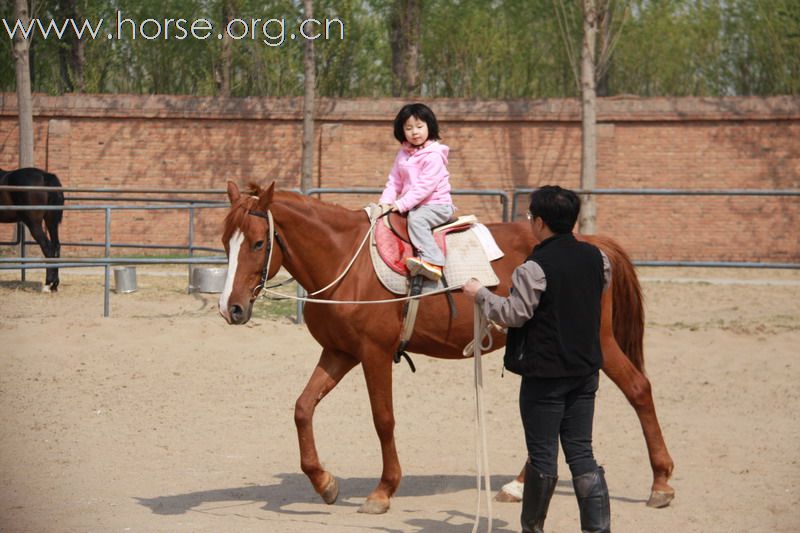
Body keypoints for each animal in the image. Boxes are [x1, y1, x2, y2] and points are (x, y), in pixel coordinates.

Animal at [216, 181, 672, 512]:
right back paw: (518, 486)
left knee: (638, 389)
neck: (348, 262)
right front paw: (324, 482)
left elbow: (383, 420)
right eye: (225, 242)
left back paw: (661, 481)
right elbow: (302, 408)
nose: (230, 307)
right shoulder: (339, 353)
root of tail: (591, 242)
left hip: (600, 343)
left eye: (258, 243)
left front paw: (383, 490)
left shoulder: (373, 354)